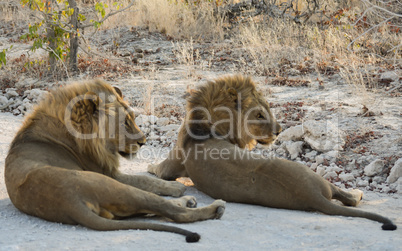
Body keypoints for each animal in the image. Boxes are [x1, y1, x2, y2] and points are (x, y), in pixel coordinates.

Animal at [4, 79, 226, 242]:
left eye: (134, 118)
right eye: (125, 123)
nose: (144, 142)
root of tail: (70, 202)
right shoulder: (108, 172)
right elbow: (145, 179)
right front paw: (175, 187)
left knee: (153, 211)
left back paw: (188, 202)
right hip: (112, 185)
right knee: (172, 212)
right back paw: (212, 207)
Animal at [149, 75, 398, 231]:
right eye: (259, 115)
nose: (279, 131)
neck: (209, 123)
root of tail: (312, 195)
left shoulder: (172, 163)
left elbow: (157, 168)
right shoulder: (172, 166)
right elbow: (158, 169)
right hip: (313, 175)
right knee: (349, 198)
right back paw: (358, 192)